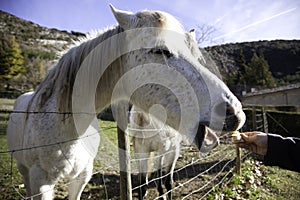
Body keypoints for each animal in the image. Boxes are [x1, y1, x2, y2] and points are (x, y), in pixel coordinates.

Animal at [7, 5, 246, 200]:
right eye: (160, 50)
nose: (235, 114)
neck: (66, 128)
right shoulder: (41, 183)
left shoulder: (81, 178)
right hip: (25, 172)